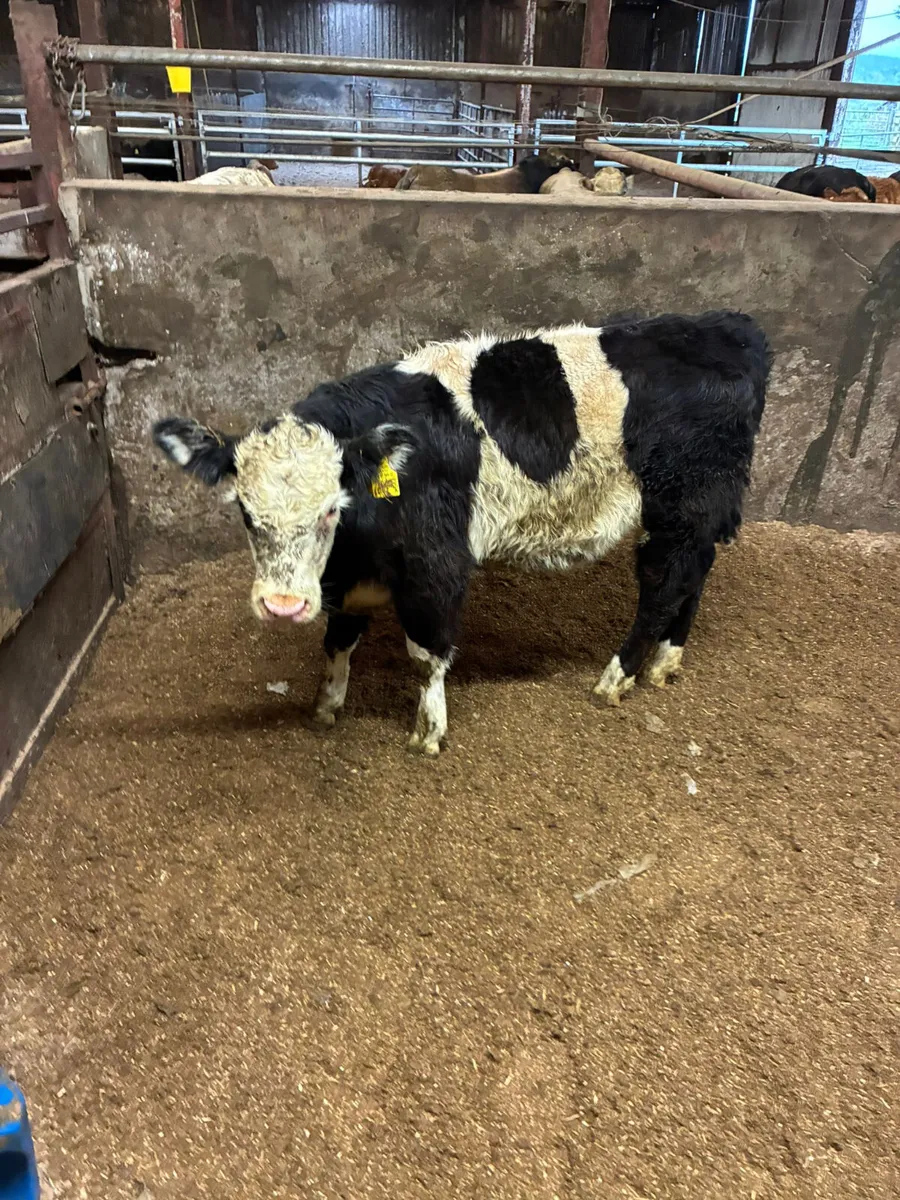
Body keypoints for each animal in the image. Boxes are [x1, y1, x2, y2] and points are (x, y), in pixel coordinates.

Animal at [153, 311, 770, 756]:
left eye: (331, 509)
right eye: (244, 510)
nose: (282, 606)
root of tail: (729, 328)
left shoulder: (436, 565)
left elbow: (425, 655)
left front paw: (428, 733)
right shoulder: (352, 577)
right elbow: (337, 640)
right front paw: (327, 707)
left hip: (680, 508)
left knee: (664, 586)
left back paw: (616, 677)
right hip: (697, 517)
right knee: (693, 578)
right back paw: (665, 663)